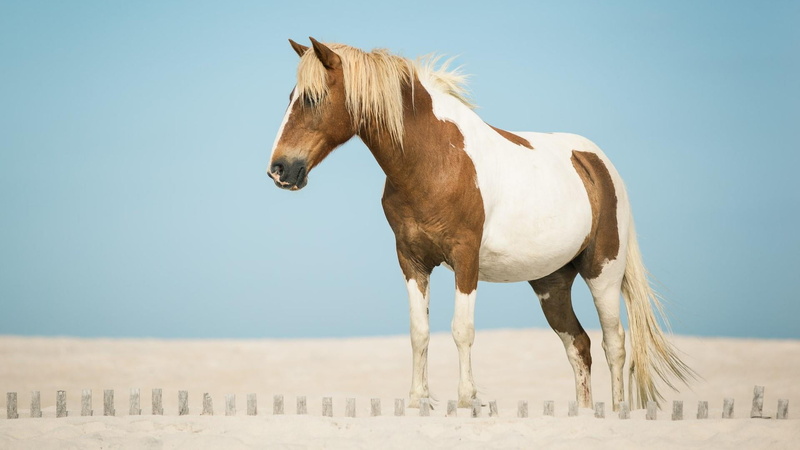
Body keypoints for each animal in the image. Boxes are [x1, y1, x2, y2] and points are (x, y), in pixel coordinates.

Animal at [267, 37, 693, 410]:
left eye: (312, 98)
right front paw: (417, 402)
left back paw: (618, 410)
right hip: (551, 283)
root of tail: (597, 162)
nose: (279, 169)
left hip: (603, 271)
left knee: (614, 343)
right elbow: (419, 332)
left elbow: (462, 330)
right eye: (290, 97)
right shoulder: (411, 260)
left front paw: (466, 401)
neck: (435, 160)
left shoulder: (465, 258)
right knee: (579, 346)